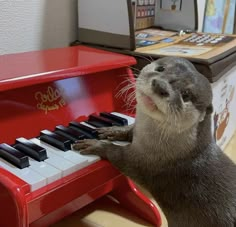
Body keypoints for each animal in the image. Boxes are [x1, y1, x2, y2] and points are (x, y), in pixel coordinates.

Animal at [72, 56, 236, 227]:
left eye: (185, 95)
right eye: (161, 68)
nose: (160, 85)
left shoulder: (144, 163)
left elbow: (118, 154)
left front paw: (95, 145)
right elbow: (129, 130)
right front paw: (112, 130)